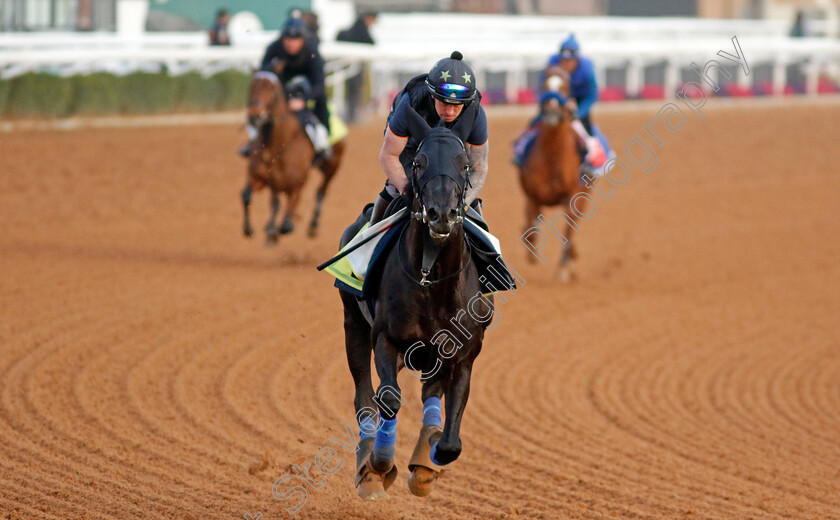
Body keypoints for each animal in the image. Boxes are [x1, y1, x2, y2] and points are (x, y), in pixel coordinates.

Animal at [240, 69, 344, 246]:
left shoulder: (297, 184)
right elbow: (247, 195)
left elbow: (286, 223)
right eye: (251, 87)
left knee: (321, 192)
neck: (278, 144)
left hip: (332, 166)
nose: (255, 116)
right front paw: (249, 228)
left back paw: (312, 225)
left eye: (272, 91)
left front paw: (281, 226)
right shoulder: (261, 177)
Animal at [336, 108, 492, 500]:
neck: (431, 279)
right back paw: (367, 465)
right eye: (419, 163)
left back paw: (423, 460)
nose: (441, 214)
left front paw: (429, 458)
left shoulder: (462, 353)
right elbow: (388, 399)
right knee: (364, 398)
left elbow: (451, 443)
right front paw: (379, 465)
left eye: (465, 163)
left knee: (428, 394)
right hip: (352, 324)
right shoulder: (386, 339)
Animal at [516, 68, 588, 284]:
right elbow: (530, 231)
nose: (552, 114)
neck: (552, 155)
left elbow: (568, 230)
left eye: (565, 87)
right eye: (544, 85)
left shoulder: (571, 196)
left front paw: (563, 268)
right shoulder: (533, 196)